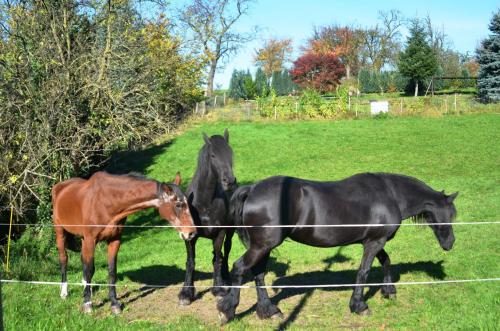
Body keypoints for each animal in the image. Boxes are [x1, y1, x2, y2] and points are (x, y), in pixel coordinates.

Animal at [51, 172, 196, 316]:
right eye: (178, 205)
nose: (191, 233)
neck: (106, 201)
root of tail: (59, 187)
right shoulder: (90, 240)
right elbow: (89, 269)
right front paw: (87, 304)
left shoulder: (114, 240)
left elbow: (111, 271)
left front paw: (114, 303)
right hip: (60, 233)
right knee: (64, 260)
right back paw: (64, 293)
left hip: (82, 239)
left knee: (83, 261)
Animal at [178, 129, 236, 306]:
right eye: (213, 155)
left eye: (230, 153)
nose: (230, 181)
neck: (204, 203)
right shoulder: (188, 236)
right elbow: (190, 261)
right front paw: (186, 293)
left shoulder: (220, 233)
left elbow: (217, 258)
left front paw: (218, 289)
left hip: (230, 232)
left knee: (226, 252)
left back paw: (226, 280)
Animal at [219, 174, 458, 324]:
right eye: (450, 214)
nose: (450, 243)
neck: (390, 194)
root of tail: (251, 189)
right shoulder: (375, 242)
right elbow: (364, 271)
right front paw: (359, 305)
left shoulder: (372, 241)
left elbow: (386, 261)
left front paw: (389, 290)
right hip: (262, 246)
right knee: (239, 268)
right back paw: (227, 310)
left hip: (262, 247)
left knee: (258, 275)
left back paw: (270, 311)